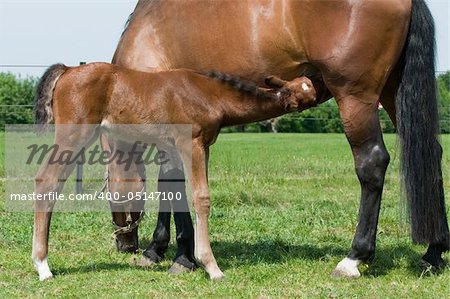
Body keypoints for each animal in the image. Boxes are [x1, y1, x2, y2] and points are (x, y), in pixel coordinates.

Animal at [32, 62, 316, 280]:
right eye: (306, 89)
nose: (316, 96)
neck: (210, 94)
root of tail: (68, 71)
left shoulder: (200, 146)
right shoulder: (191, 143)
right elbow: (201, 198)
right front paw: (211, 267)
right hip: (74, 135)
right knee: (46, 182)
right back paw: (43, 266)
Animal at [108, 0, 446, 282]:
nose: (124, 245)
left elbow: (174, 185)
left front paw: (177, 255)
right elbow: (170, 184)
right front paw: (161, 249)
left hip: (355, 96)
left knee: (372, 163)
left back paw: (354, 258)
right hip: (391, 92)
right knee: (432, 153)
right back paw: (434, 252)